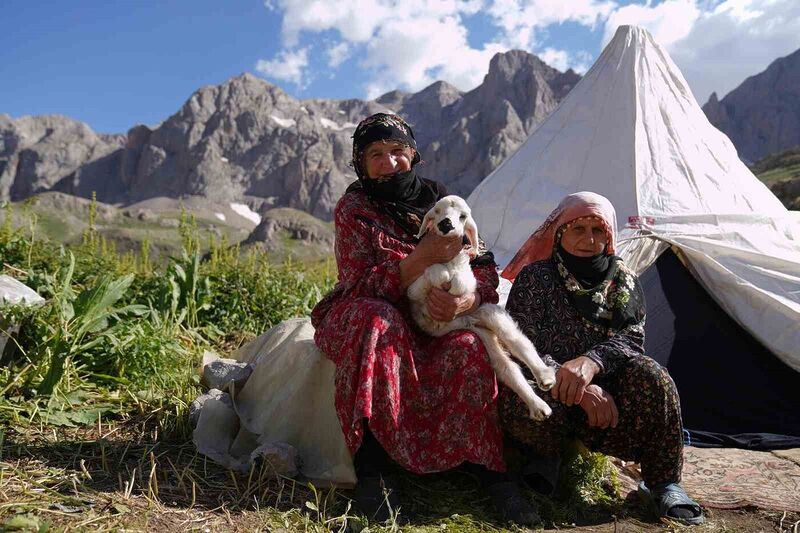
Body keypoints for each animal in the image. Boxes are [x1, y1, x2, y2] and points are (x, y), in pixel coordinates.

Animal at [410, 195, 552, 420]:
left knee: (519, 342)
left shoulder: (469, 282)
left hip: (489, 312)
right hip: (482, 335)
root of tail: (473, 321)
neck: (449, 262)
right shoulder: (413, 290)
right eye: (438, 211)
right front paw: (440, 274)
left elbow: (462, 282)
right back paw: (539, 407)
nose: (446, 224)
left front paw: (452, 282)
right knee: (507, 368)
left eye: (463, 216)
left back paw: (545, 377)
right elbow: (431, 274)